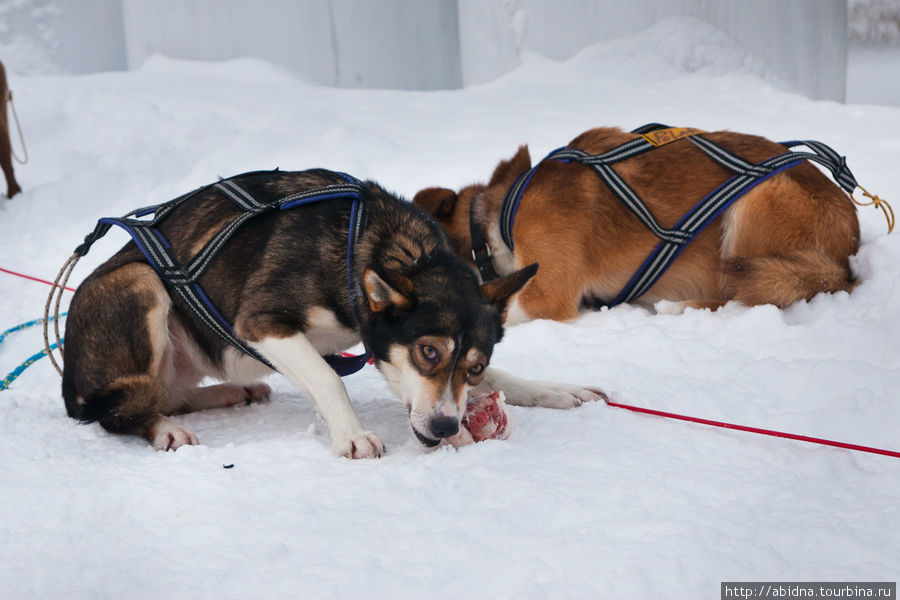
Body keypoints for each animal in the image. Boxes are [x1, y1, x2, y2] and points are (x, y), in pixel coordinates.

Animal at [59, 170, 600, 460]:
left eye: (476, 366)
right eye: (428, 352)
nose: (448, 427)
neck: (364, 247)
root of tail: (71, 382)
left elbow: (507, 378)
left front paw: (552, 389)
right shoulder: (261, 323)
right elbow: (328, 378)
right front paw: (353, 435)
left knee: (168, 392)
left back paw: (228, 391)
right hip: (141, 284)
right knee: (119, 410)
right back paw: (163, 427)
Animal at [414, 127, 856, 324]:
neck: (502, 213)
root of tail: (846, 259)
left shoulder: (546, 294)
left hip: (755, 204)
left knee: (742, 294)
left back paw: (680, 307)